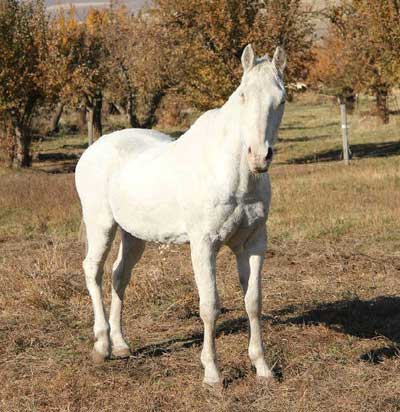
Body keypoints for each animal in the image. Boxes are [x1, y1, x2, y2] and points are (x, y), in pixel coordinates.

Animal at [75, 45, 286, 386]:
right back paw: (102, 345)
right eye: (242, 96)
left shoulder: (253, 244)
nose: (258, 156)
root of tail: (94, 148)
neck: (231, 173)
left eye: (281, 100)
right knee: (93, 271)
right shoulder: (203, 245)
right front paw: (212, 374)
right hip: (101, 225)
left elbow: (253, 302)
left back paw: (120, 345)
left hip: (133, 234)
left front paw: (263, 368)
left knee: (119, 276)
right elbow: (210, 306)